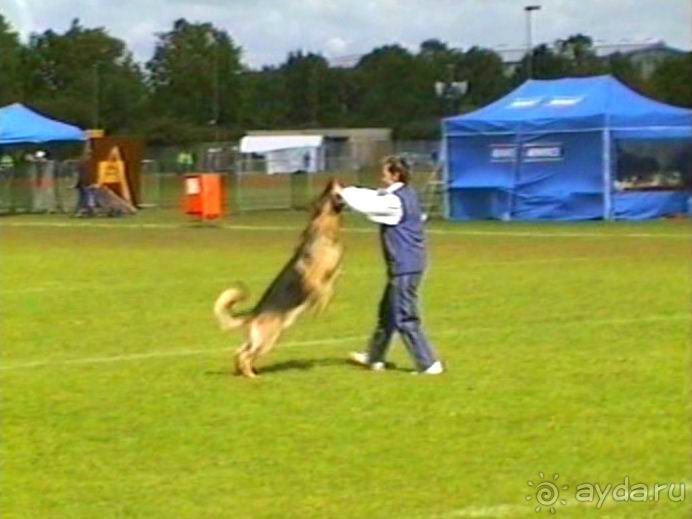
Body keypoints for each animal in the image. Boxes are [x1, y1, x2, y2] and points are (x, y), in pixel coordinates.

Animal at [214, 179, 344, 378]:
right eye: (326, 191)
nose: (332, 180)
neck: (323, 227)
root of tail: (254, 314)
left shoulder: (331, 271)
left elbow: (333, 281)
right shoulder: (313, 278)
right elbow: (325, 290)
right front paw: (320, 306)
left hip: (259, 340)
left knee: (238, 352)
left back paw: (243, 372)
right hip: (268, 340)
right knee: (245, 355)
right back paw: (251, 376)